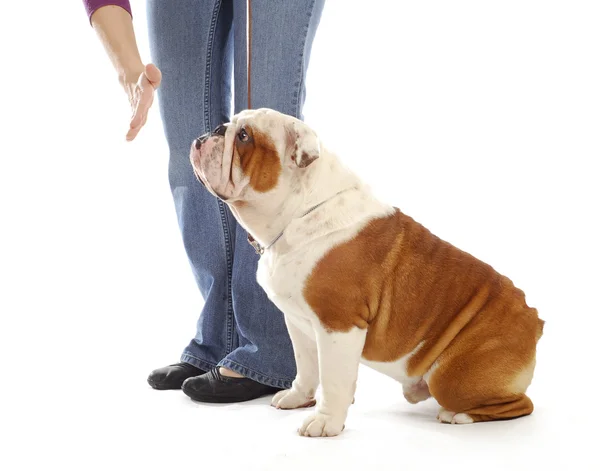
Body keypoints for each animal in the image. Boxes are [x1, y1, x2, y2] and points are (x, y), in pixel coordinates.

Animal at [191, 108, 544, 438]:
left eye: (244, 137)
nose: (214, 130)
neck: (298, 214)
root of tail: (534, 318)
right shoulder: (298, 323)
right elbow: (307, 368)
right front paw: (298, 398)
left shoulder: (338, 324)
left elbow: (334, 380)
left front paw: (326, 422)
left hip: (452, 377)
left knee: (520, 405)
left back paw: (459, 415)